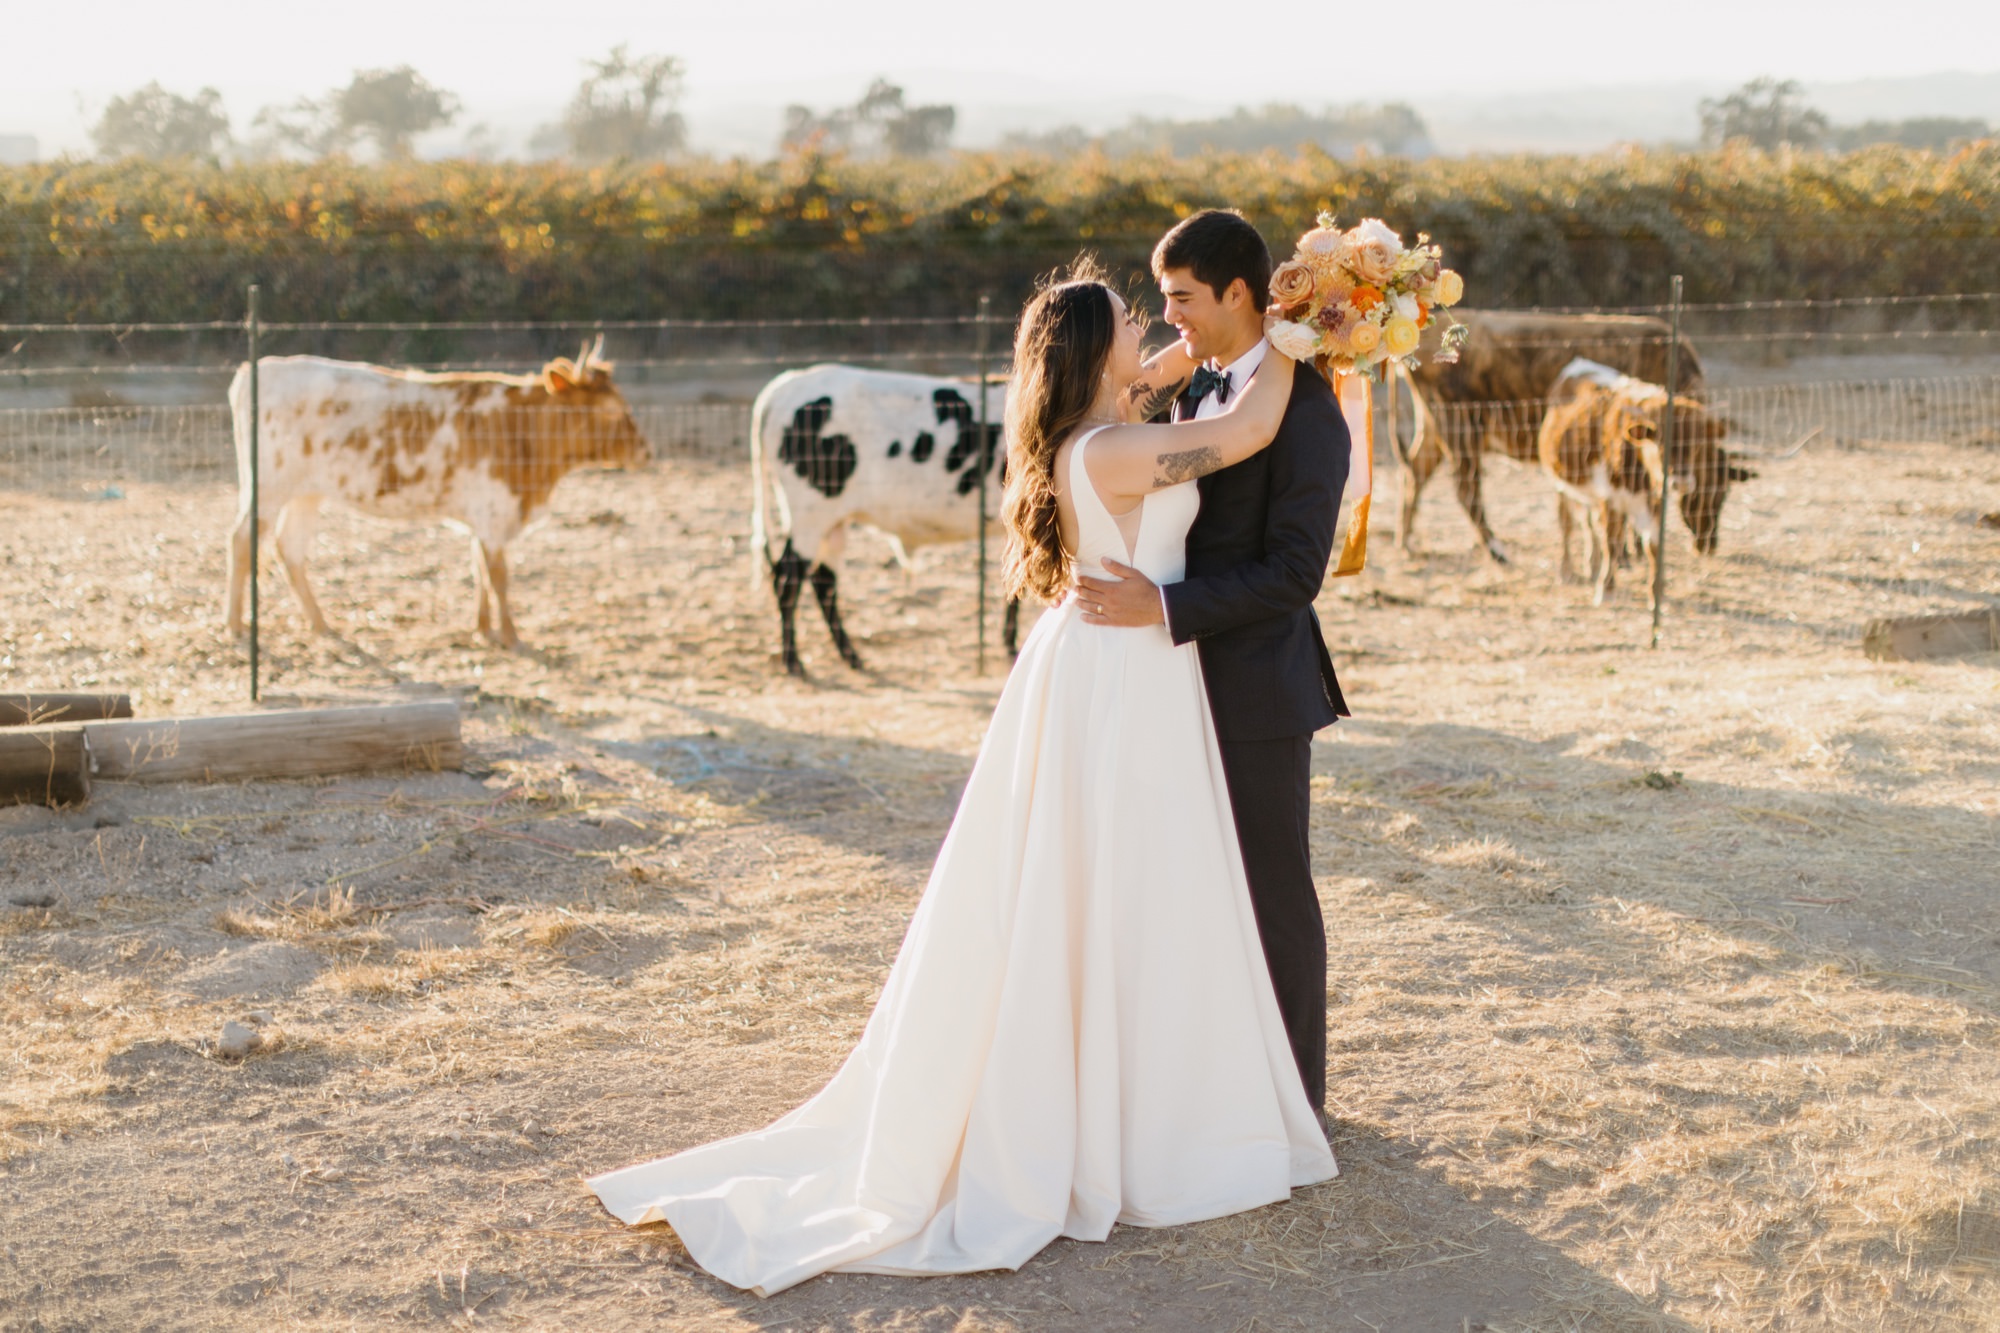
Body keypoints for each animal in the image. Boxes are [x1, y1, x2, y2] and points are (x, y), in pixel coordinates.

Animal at [748, 364, 1016, 668]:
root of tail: (791, 381)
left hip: (830, 523)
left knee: (823, 580)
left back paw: (849, 654)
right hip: (810, 516)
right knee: (788, 579)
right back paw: (793, 660)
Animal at [1400, 312, 1712, 560]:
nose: (1707, 545)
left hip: (1434, 428)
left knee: (1416, 471)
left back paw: (1407, 543)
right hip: (1459, 428)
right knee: (1466, 489)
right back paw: (1497, 550)